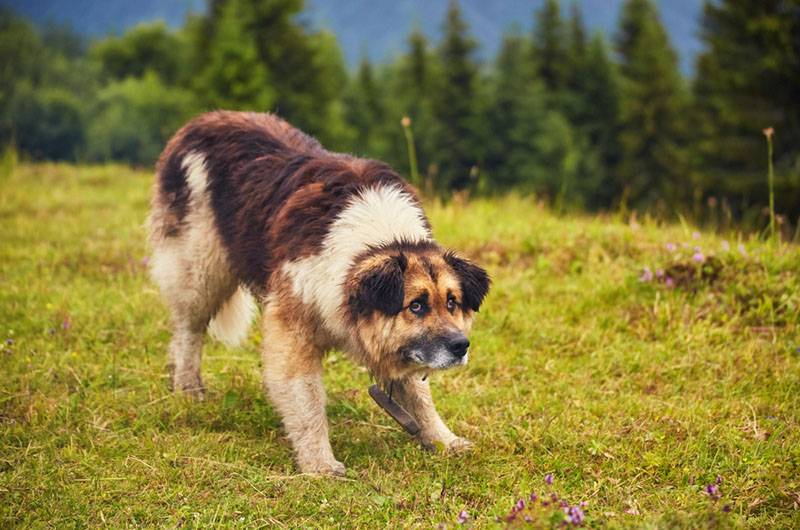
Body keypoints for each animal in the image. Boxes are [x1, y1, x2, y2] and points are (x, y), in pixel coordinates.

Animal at [147, 111, 490, 474]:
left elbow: (419, 396)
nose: (460, 346)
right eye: (416, 305)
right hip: (199, 269)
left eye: (452, 302)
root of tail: (205, 118)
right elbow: (307, 400)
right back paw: (188, 387)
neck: (374, 244)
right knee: (189, 329)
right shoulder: (292, 332)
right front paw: (320, 465)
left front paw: (444, 441)